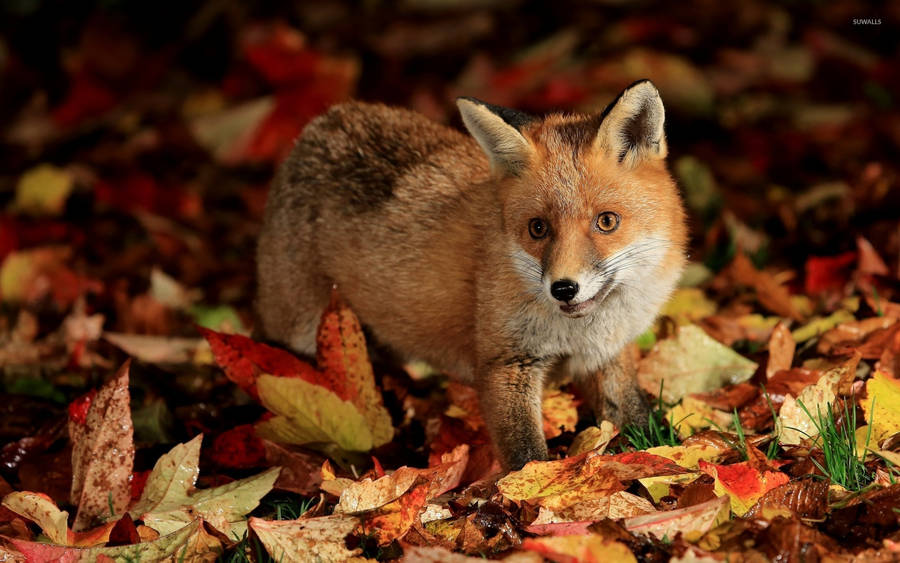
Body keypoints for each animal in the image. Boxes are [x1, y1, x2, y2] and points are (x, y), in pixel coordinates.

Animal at [255, 79, 687, 470]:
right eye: (537, 228)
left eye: (606, 221)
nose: (563, 288)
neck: (580, 331)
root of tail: (322, 123)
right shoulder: (505, 364)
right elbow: (525, 455)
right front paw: (529, 495)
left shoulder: (608, 354)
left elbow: (636, 416)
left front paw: (664, 454)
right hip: (301, 334)